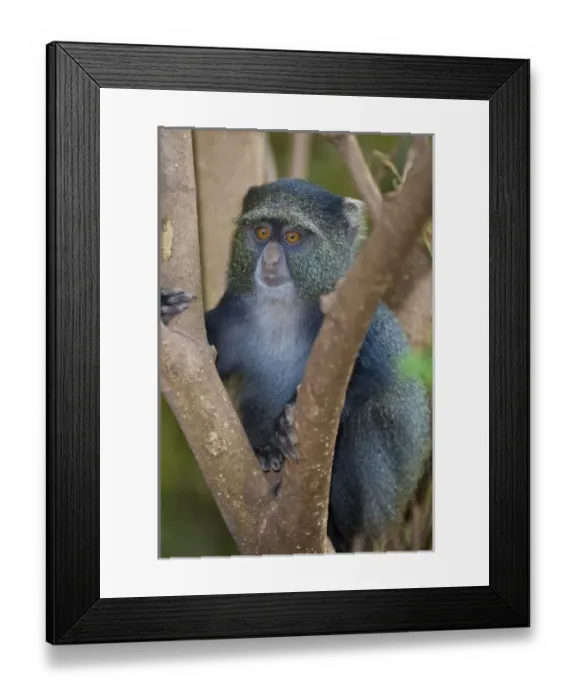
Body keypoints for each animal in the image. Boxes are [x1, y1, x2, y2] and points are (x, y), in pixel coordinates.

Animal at [161, 178, 431, 553]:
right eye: (261, 232)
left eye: (292, 237)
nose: (271, 260)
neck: (283, 309)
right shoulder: (232, 316)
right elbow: (209, 364)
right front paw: (164, 306)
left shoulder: (360, 322)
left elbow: (384, 379)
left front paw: (287, 422)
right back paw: (265, 454)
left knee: (368, 421)